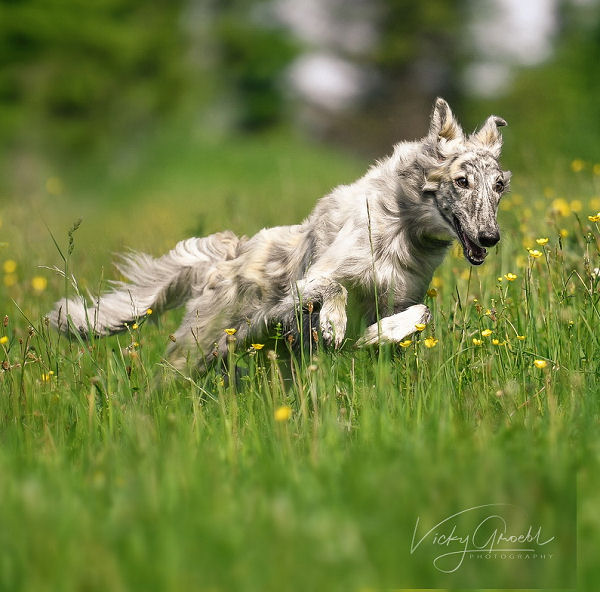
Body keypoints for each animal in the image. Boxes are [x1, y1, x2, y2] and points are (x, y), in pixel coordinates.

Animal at [50, 99, 510, 372]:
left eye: (499, 186)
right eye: (462, 181)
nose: (490, 238)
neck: (401, 226)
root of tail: (231, 255)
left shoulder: (400, 296)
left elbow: (420, 313)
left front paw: (377, 335)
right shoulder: (308, 283)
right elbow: (333, 289)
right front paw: (334, 325)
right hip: (197, 344)